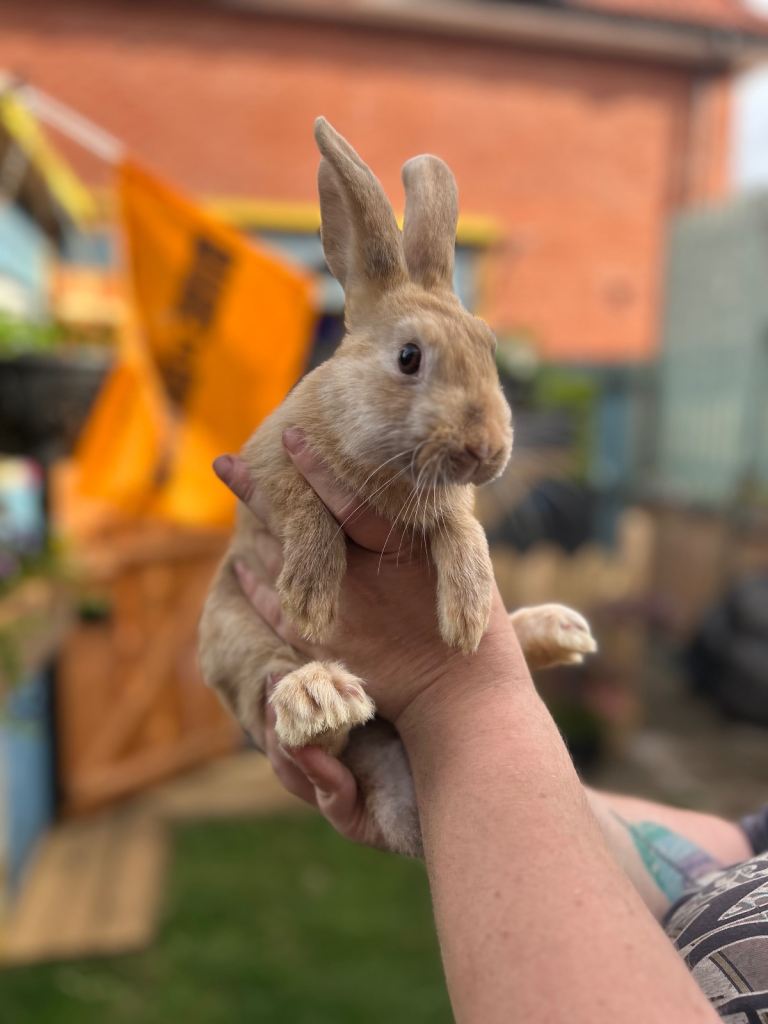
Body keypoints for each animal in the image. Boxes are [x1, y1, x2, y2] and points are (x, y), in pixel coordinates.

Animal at [198, 117, 597, 856]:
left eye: (490, 350)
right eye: (409, 357)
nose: (486, 450)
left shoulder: (452, 503)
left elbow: (462, 527)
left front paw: (466, 614)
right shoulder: (271, 465)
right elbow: (303, 505)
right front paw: (312, 596)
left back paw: (556, 630)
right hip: (231, 634)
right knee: (296, 717)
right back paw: (319, 695)